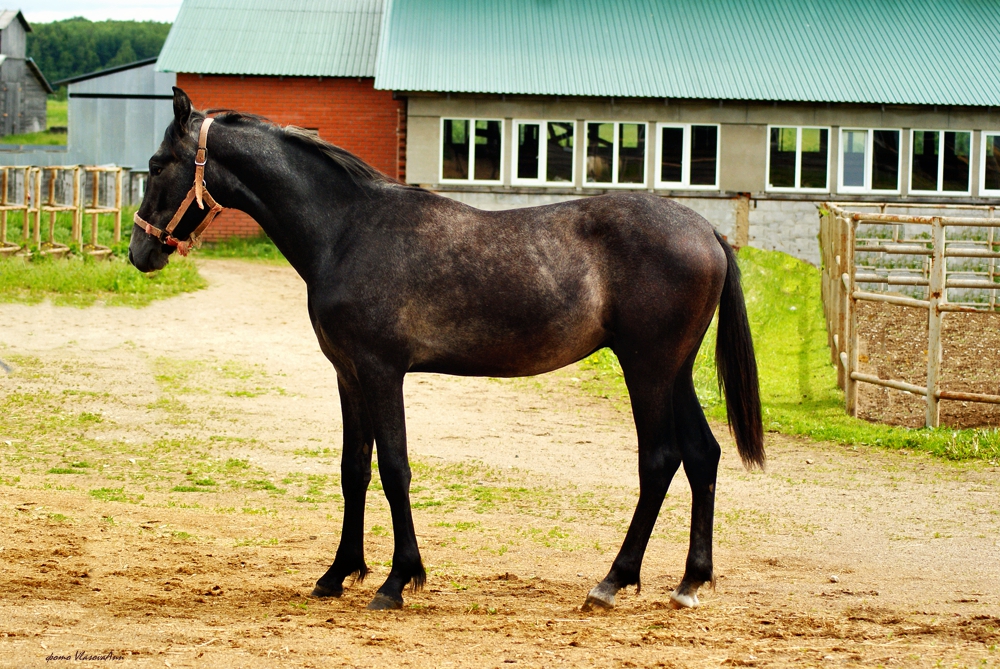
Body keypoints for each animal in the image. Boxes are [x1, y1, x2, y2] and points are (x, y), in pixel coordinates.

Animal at [129, 88, 764, 612]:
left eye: (158, 165)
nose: (140, 252)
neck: (347, 230)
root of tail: (706, 231)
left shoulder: (382, 371)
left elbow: (394, 467)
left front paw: (396, 581)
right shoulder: (347, 374)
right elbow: (353, 469)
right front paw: (338, 574)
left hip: (647, 367)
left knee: (659, 459)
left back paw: (611, 582)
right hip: (674, 370)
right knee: (702, 454)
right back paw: (689, 582)